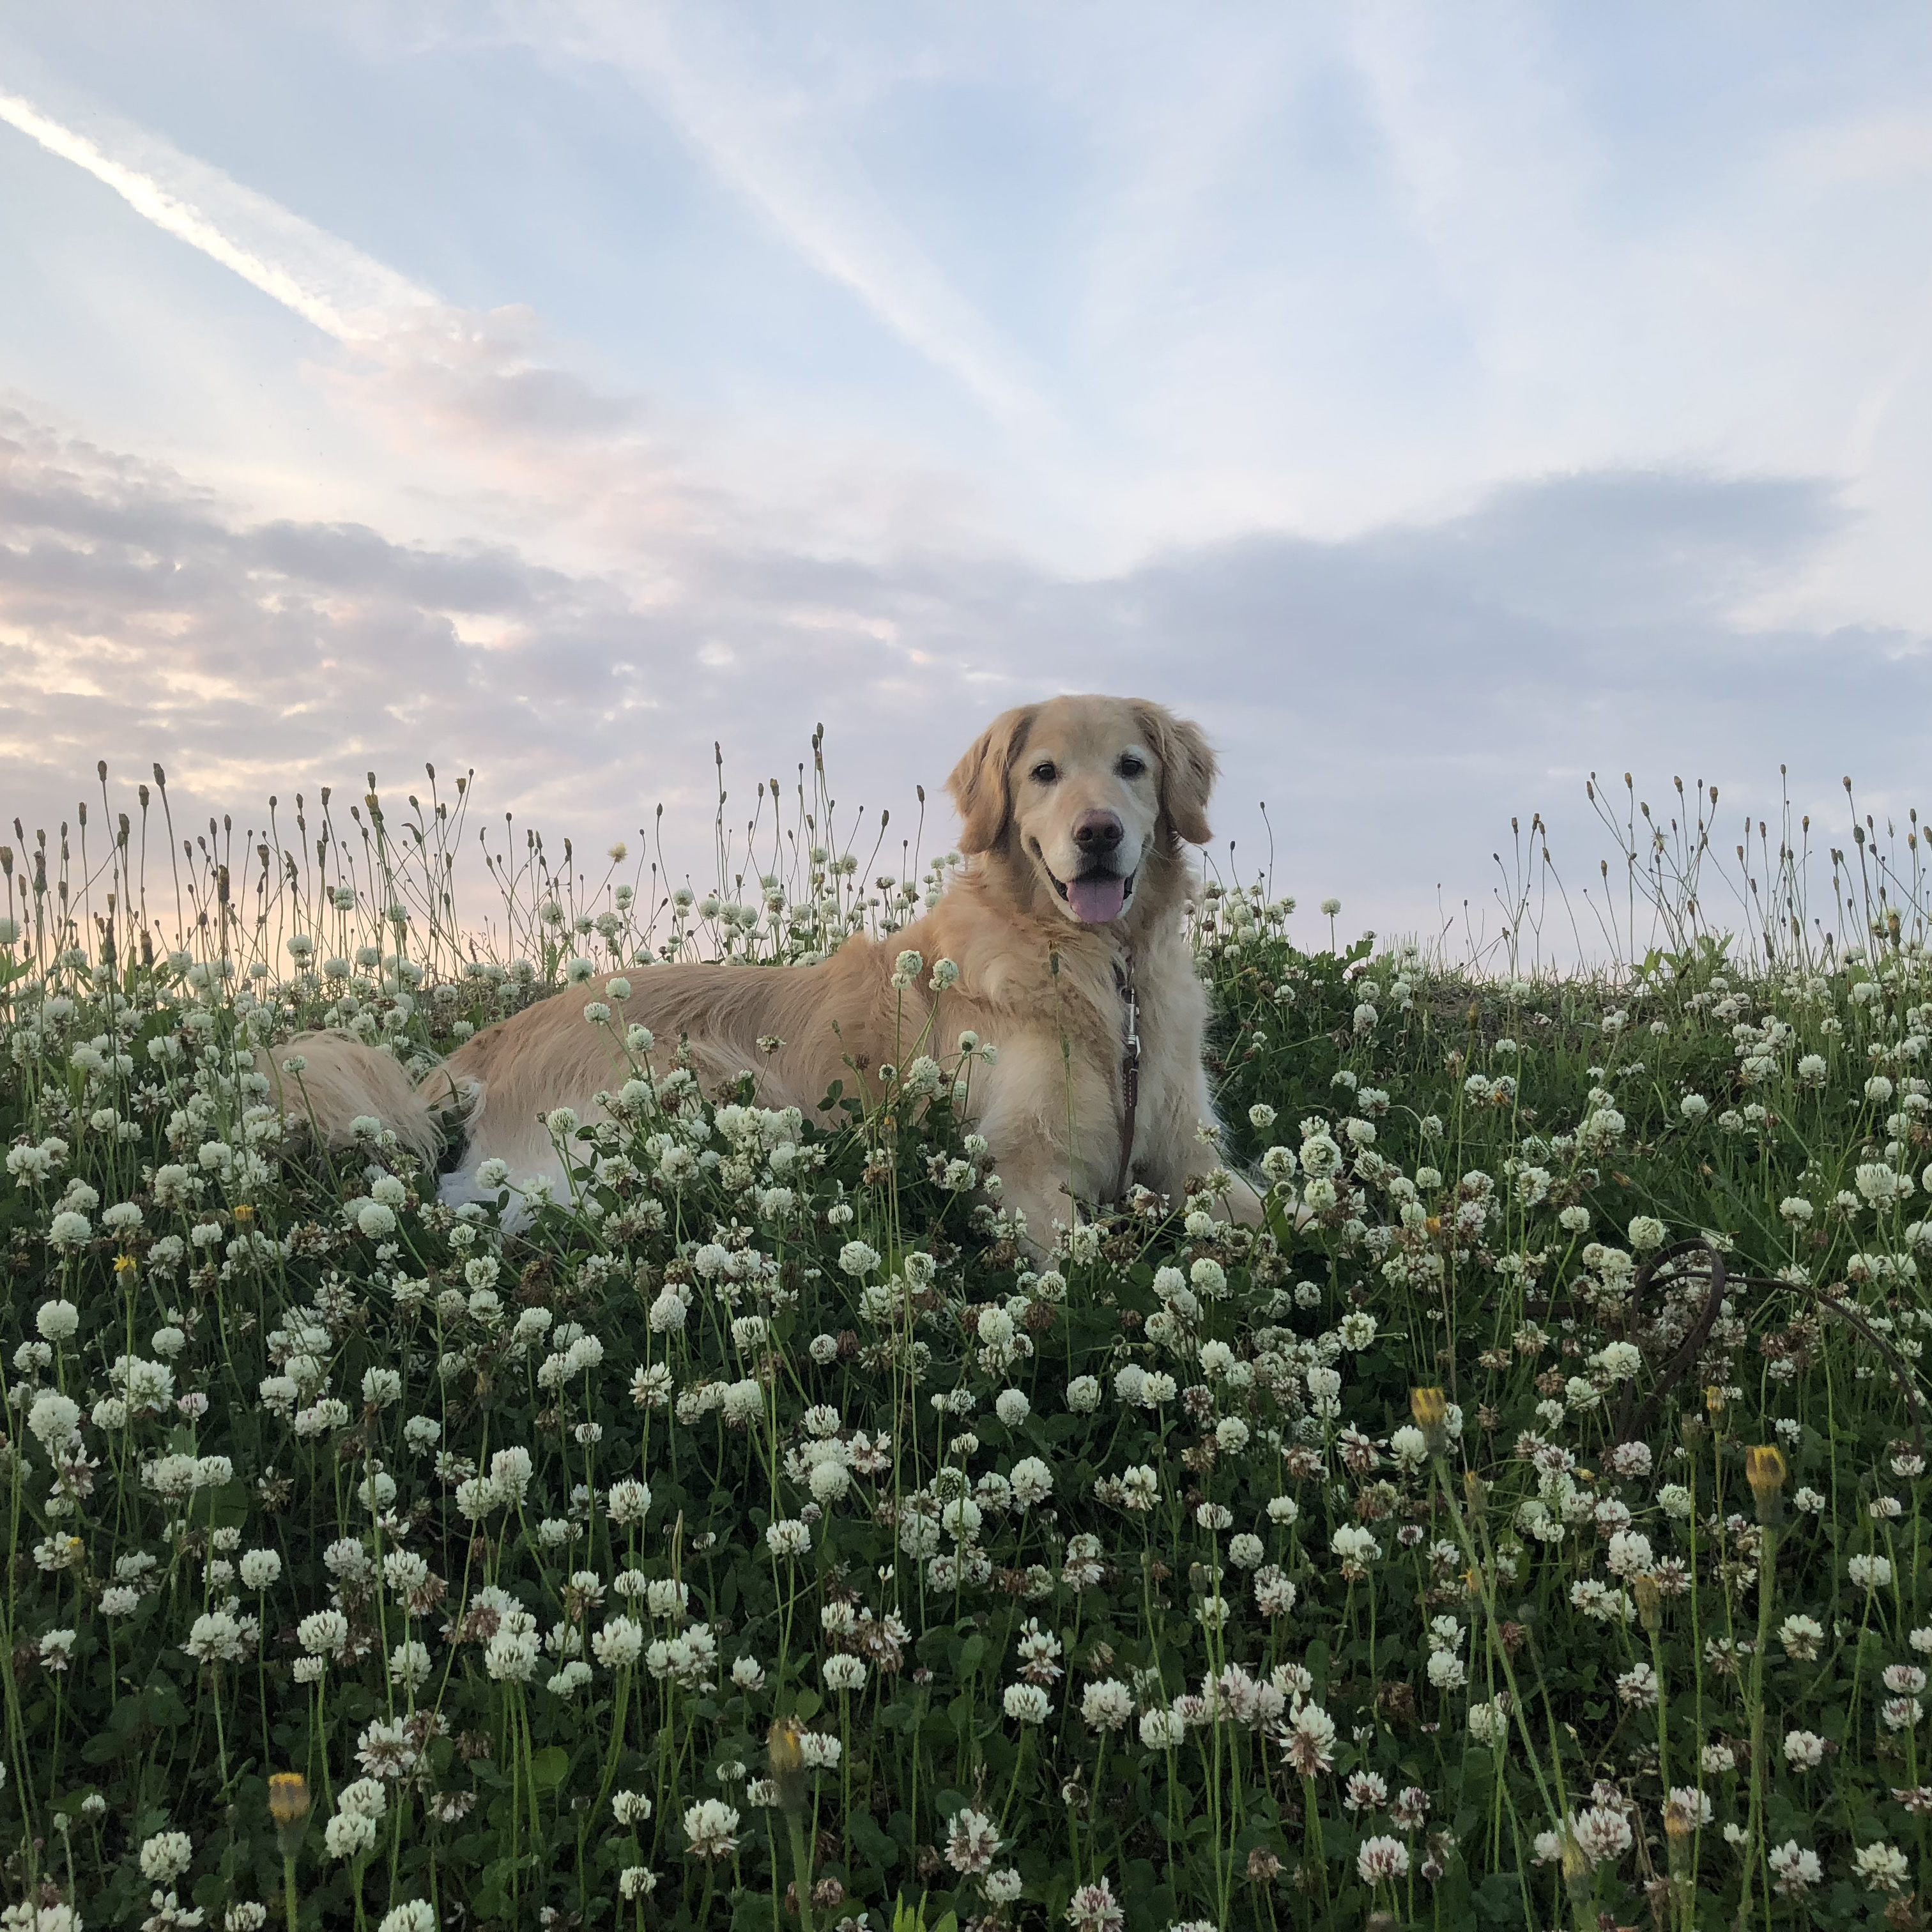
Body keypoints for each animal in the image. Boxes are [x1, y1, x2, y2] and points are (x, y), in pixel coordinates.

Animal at [276, 703, 1267, 1244]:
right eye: (1045, 773)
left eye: (1132, 767)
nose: (1099, 832)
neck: (1102, 970)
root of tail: (505, 1030)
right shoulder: (1021, 1160)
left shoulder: (1192, 1149)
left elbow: (1269, 1218)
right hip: (706, 1086)